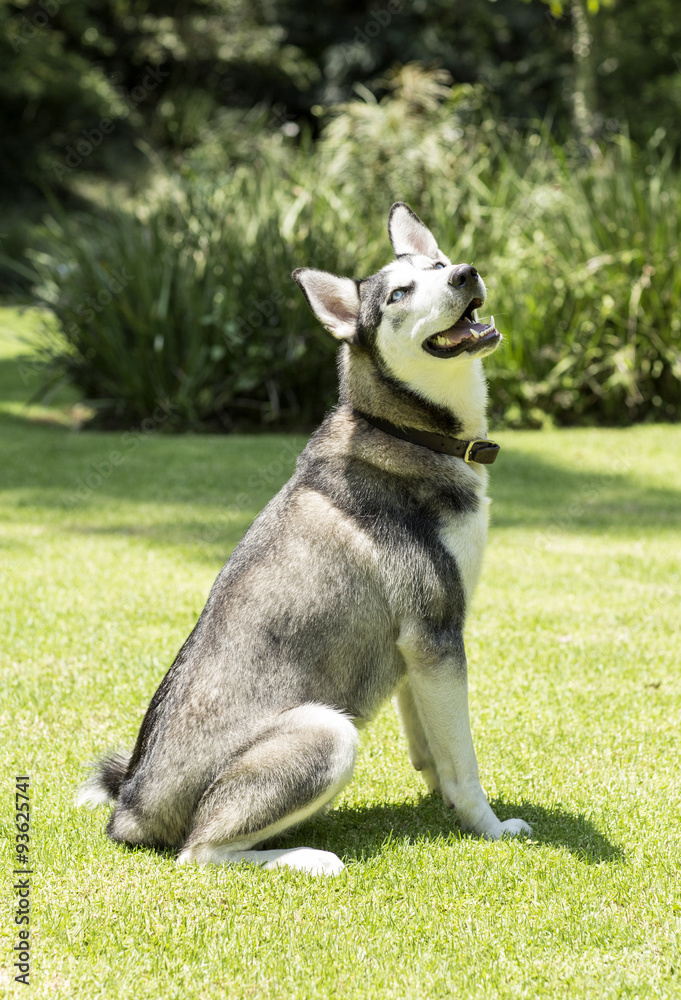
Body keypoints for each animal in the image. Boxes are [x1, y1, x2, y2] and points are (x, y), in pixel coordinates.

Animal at [77, 205, 528, 876]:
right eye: (399, 294)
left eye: (440, 264)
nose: (466, 274)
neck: (405, 431)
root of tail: (130, 807)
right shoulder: (438, 633)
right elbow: (465, 762)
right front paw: (490, 828)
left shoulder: (415, 650)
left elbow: (434, 752)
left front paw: (447, 812)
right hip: (327, 731)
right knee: (199, 853)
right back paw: (309, 858)